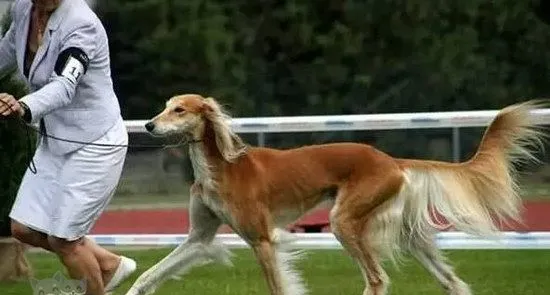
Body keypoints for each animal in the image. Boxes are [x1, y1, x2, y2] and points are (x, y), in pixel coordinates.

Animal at [124, 95, 548, 295]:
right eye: (164, 107)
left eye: (180, 110)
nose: (148, 125)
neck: (221, 166)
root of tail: (390, 159)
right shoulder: (199, 238)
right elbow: (150, 273)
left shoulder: (262, 240)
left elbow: (278, 287)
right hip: (407, 235)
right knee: (450, 281)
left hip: (343, 220)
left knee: (377, 279)